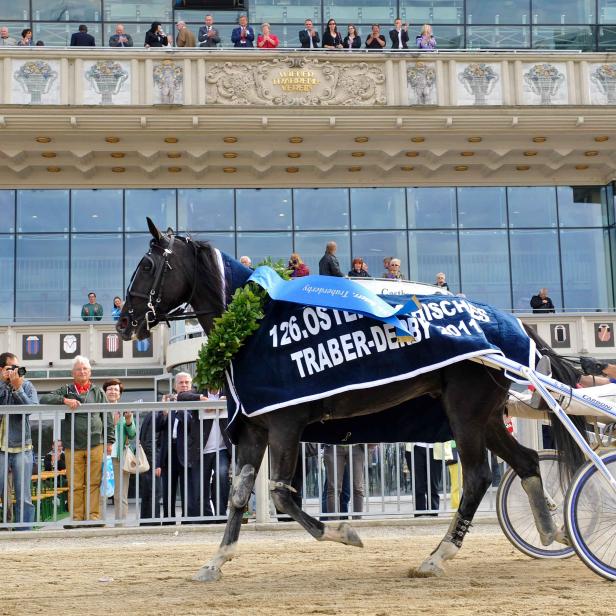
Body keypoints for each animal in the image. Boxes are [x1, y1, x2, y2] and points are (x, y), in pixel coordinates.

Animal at [118, 220, 580, 584]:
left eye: (147, 265)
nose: (124, 324)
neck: (250, 327)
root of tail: (513, 322)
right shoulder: (254, 426)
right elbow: (238, 494)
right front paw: (216, 561)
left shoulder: (285, 422)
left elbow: (282, 494)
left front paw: (344, 532)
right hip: (483, 414)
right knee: (526, 461)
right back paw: (549, 530)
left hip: (465, 411)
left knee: (479, 476)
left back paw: (437, 556)